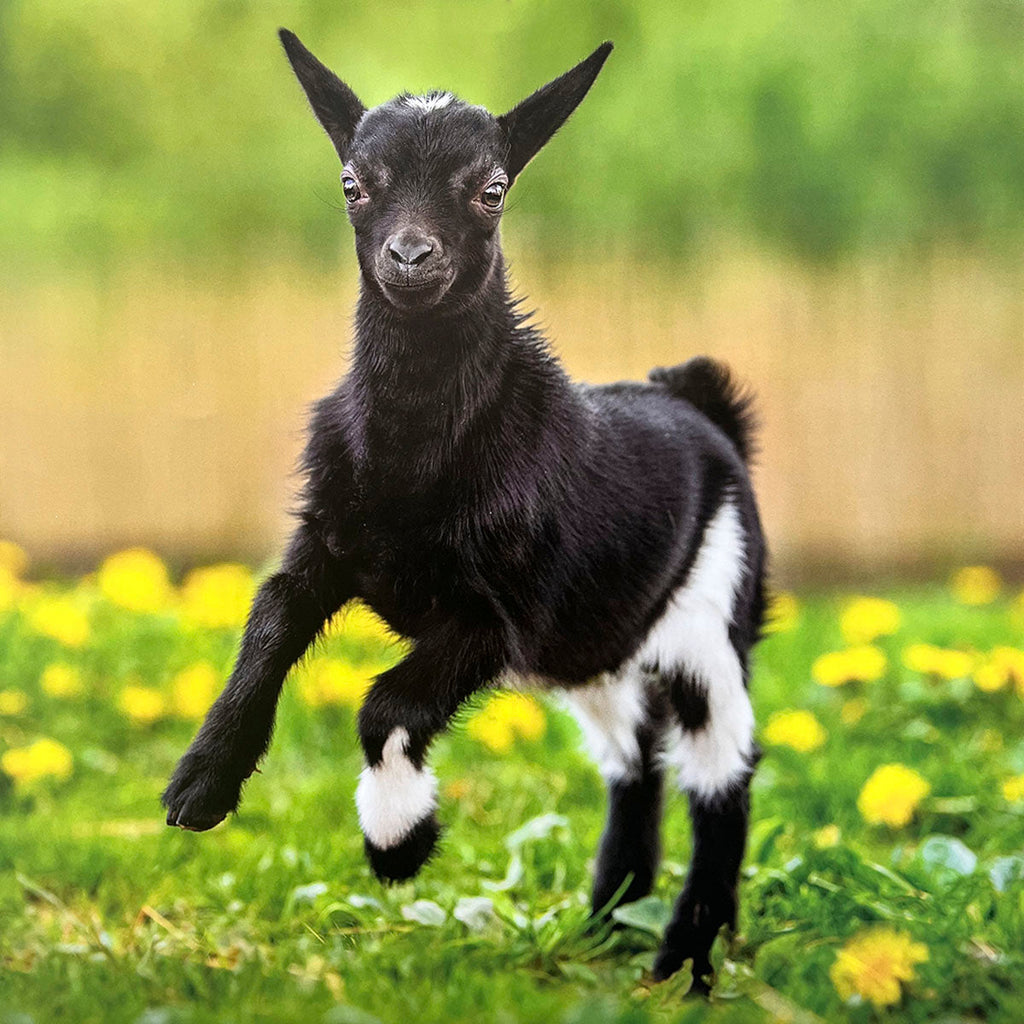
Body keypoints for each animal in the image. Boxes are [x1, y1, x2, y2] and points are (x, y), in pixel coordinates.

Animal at [163, 29, 767, 991]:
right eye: (352, 183)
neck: (415, 456)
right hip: (597, 651)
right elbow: (271, 618)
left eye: (492, 189)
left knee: (721, 780)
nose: (412, 258)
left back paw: (684, 958)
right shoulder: (331, 544)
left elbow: (387, 705)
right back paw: (608, 922)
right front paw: (201, 787)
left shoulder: (499, 617)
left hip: (711, 619)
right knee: (633, 764)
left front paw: (399, 845)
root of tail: (701, 403)